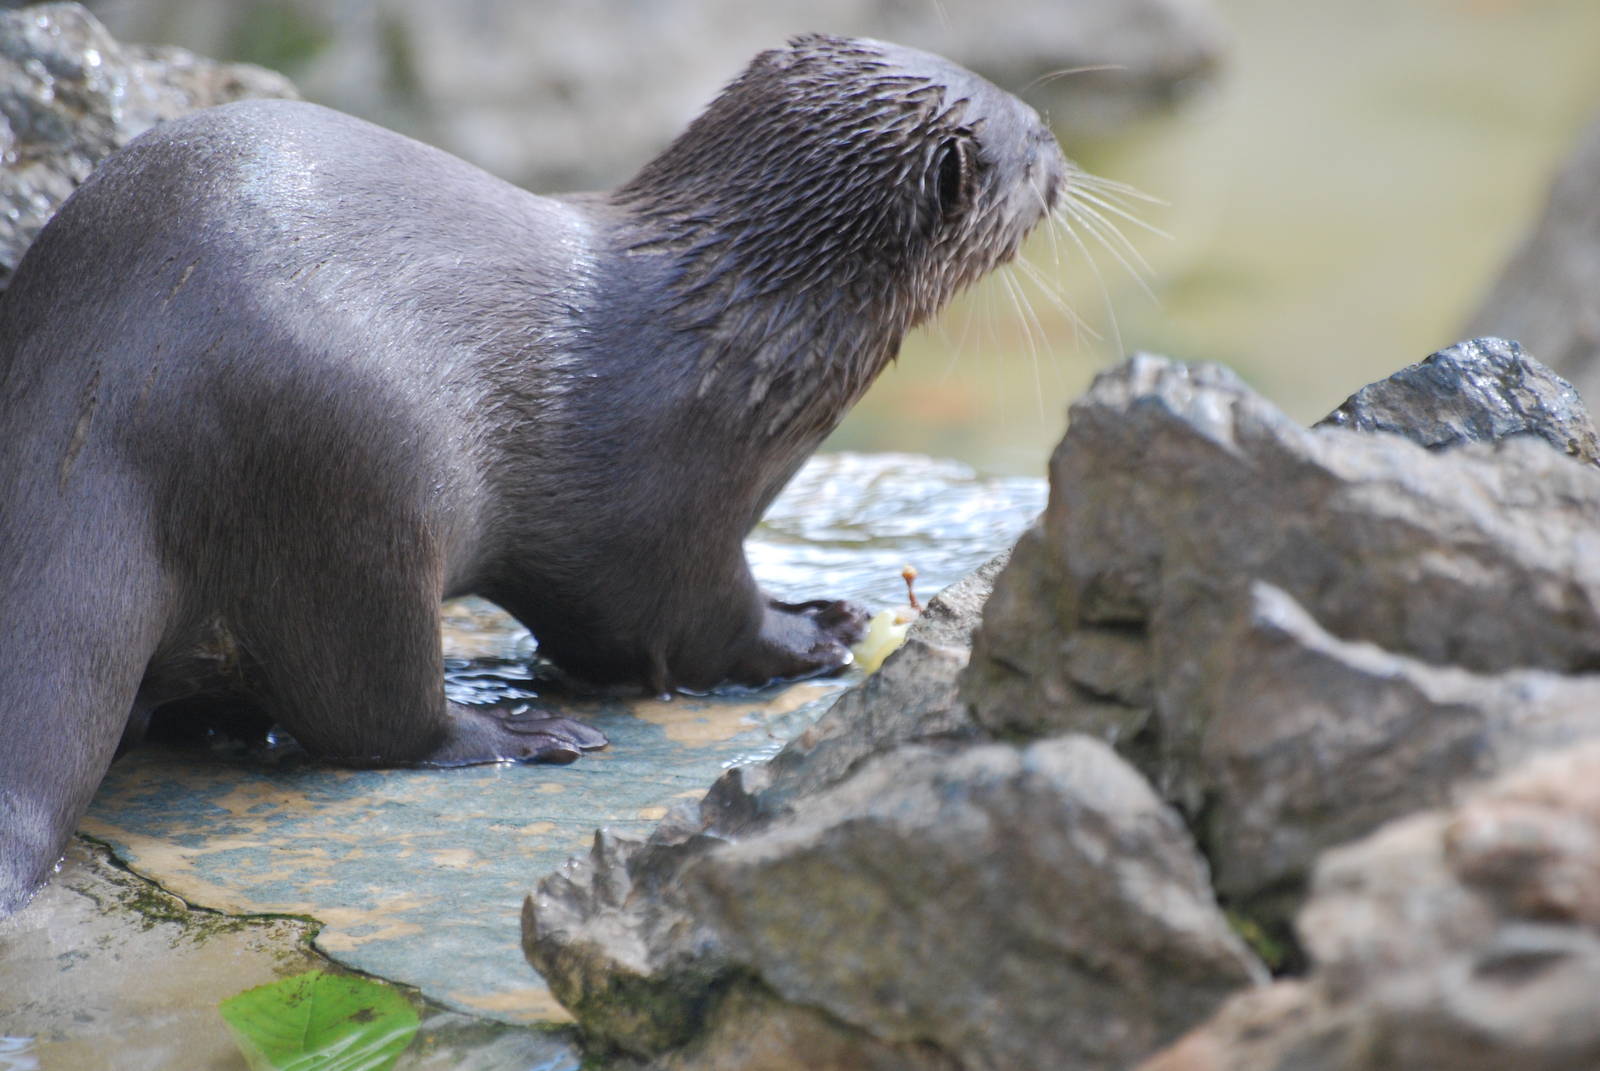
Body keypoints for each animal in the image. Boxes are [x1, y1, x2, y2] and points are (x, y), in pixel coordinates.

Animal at [0, 34, 1065, 914]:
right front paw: (814, 630)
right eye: (1030, 138)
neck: (740, 342)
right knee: (369, 713)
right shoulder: (663, 525)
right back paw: (513, 733)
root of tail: (98, 392)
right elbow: (685, 627)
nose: (1061, 155)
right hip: (349, 489)